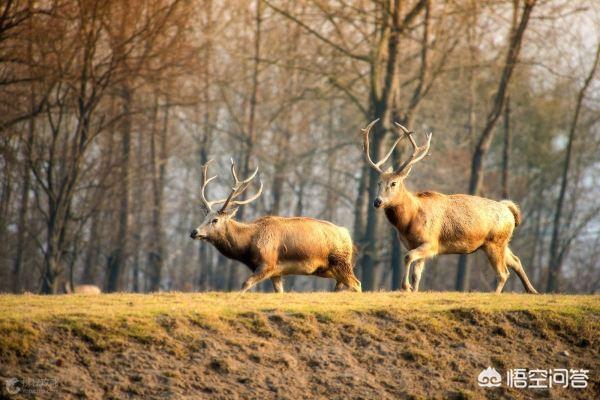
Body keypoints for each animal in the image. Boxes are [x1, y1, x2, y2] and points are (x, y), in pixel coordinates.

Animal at [190, 159, 364, 294]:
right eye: (205, 217)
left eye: (215, 220)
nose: (194, 231)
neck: (248, 245)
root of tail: (348, 236)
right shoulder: (276, 272)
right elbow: (279, 292)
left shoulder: (268, 262)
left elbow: (245, 284)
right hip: (329, 269)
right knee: (342, 285)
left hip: (342, 263)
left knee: (357, 284)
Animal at [360, 119, 540, 294]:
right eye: (378, 182)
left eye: (394, 183)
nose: (377, 201)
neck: (409, 222)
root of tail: (509, 210)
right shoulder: (415, 244)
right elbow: (417, 274)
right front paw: (413, 290)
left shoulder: (431, 242)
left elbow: (408, 257)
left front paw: (406, 287)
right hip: (500, 243)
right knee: (516, 260)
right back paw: (532, 290)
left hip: (495, 242)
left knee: (503, 273)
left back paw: (496, 294)